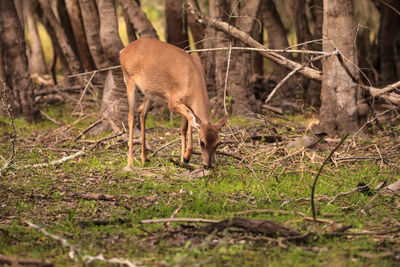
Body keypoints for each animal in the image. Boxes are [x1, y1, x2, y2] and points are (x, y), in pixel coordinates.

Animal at [119, 38, 228, 172]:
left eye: (218, 143)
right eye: (202, 142)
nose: (208, 165)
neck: (192, 79)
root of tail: (123, 51)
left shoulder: (186, 103)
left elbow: (185, 127)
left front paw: (183, 161)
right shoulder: (173, 102)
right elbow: (190, 119)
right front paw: (186, 156)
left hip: (150, 92)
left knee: (141, 111)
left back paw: (144, 158)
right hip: (129, 81)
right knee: (130, 117)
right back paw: (130, 162)